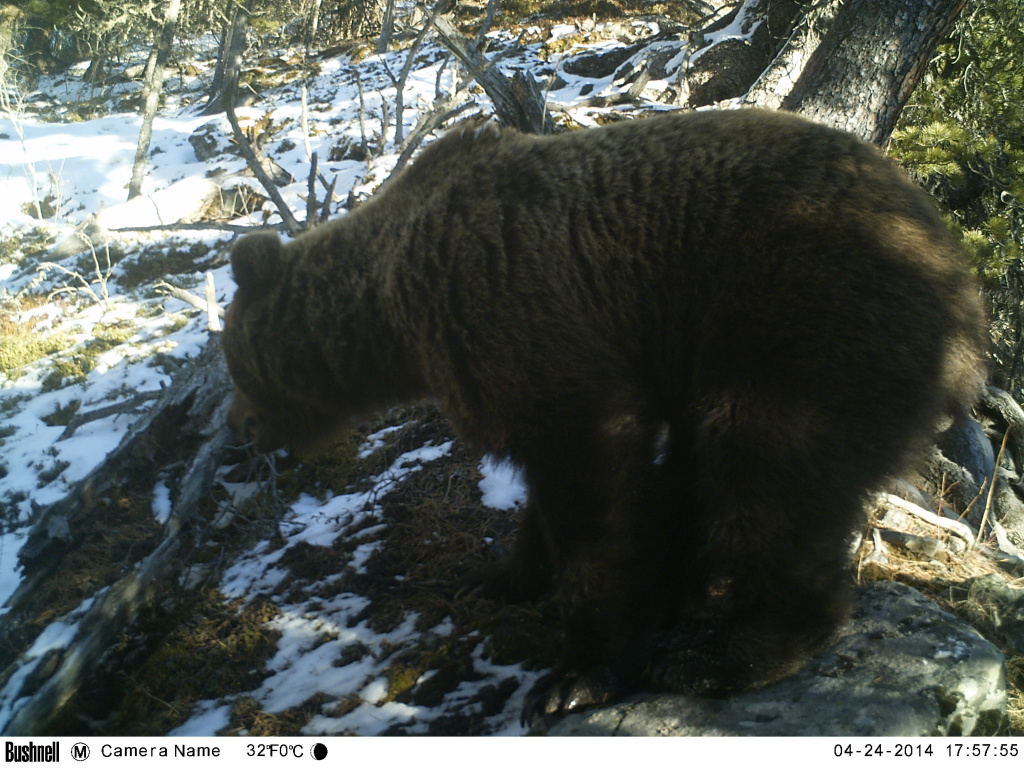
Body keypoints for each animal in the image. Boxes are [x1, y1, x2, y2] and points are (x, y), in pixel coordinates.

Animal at [220, 109, 987, 729]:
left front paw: (573, 676)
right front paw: (497, 574)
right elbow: (542, 493)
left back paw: (726, 653)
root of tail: (961, 281)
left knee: (764, 470)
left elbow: (591, 482)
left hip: (802, 316)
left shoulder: (523, 317)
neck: (391, 315)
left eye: (235, 366)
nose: (240, 434)